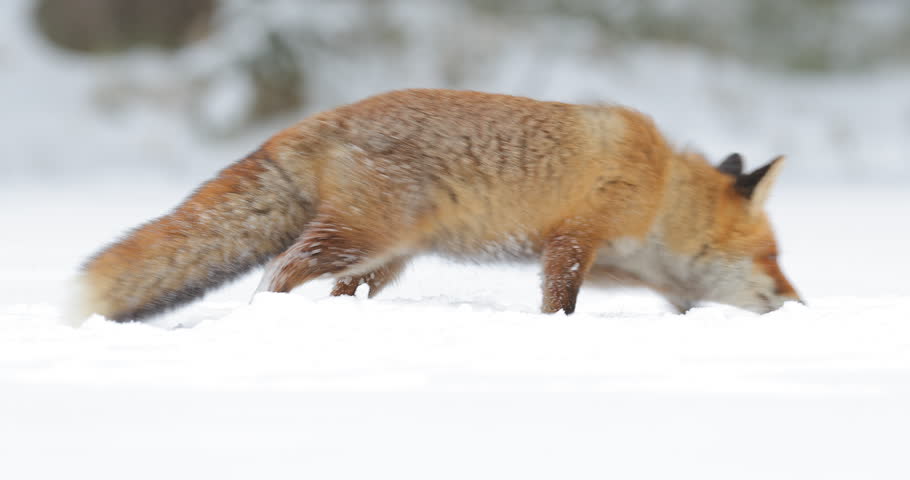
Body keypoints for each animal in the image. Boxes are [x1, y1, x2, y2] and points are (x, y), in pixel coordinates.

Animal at [76, 88, 801, 322]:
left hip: (381, 264)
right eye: (773, 255)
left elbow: (663, 291)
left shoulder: (610, 258)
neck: (661, 192)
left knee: (332, 291)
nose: (800, 303)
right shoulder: (573, 240)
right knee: (277, 272)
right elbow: (561, 303)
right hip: (358, 241)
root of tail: (313, 121)